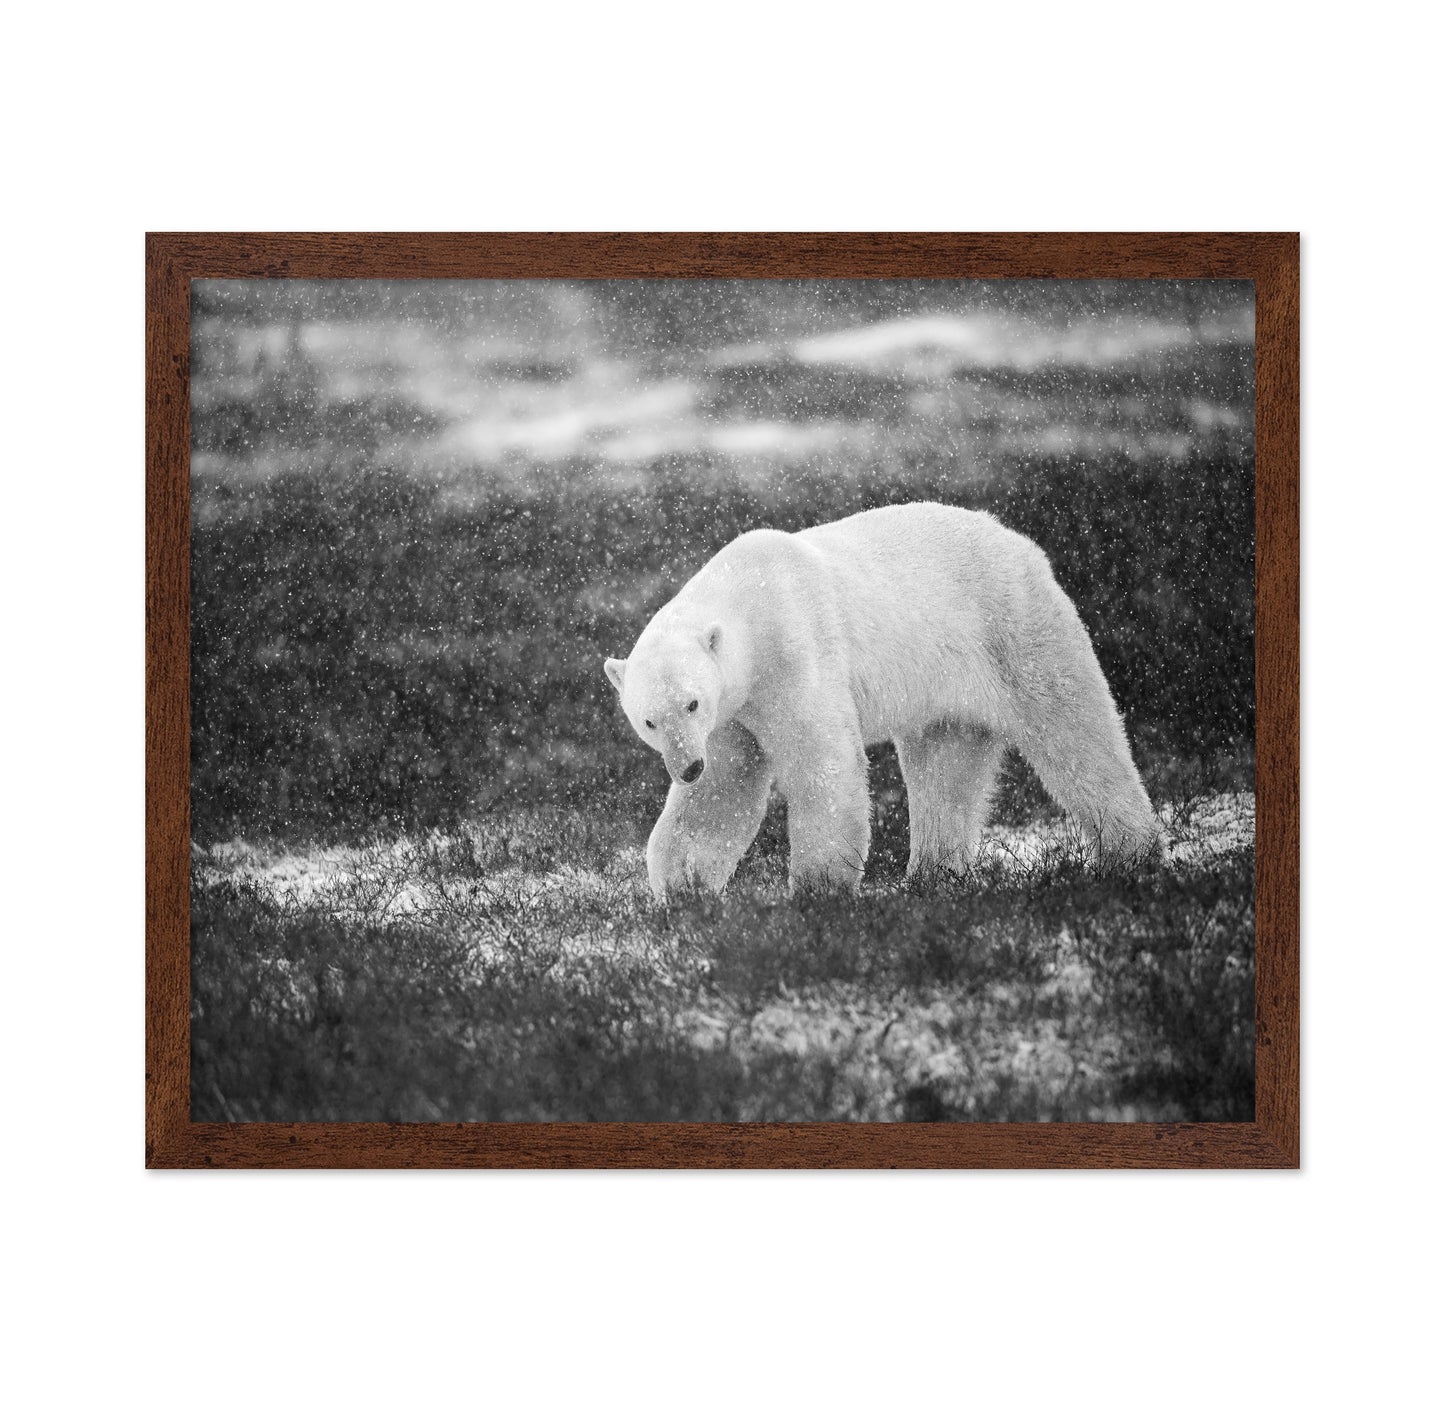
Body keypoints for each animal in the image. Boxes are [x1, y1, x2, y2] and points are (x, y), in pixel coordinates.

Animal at [604, 501, 1160, 899]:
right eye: (649, 721)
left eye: (691, 704)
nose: (686, 767)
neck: (748, 600)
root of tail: (1019, 542)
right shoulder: (732, 716)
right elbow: (722, 791)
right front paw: (682, 888)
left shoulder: (794, 652)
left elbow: (822, 762)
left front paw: (819, 889)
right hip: (944, 686)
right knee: (946, 769)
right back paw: (932, 876)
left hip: (1014, 629)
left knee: (1074, 731)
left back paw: (1130, 852)